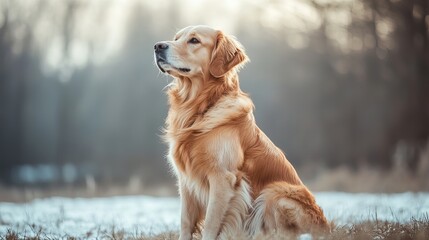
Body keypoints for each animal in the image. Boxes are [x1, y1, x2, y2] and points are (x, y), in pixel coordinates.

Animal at [154, 25, 328, 239]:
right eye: (176, 38)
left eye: (194, 40)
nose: (157, 46)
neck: (200, 109)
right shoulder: (186, 181)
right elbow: (186, 222)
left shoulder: (223, 178)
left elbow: (211, 224)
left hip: (275, 192)